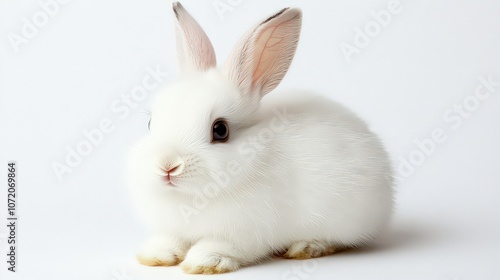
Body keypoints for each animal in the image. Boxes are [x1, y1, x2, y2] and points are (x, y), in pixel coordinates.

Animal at [127, 1, 392, 274]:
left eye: (220, 130)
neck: (189, 197)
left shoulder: (242, 233)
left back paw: (307, 247)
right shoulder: (172, 229)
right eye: (150, 123)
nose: (167, 166)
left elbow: (219, 245)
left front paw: (205, 263)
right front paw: (156, 257)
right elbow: (169, 240)